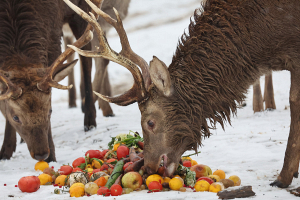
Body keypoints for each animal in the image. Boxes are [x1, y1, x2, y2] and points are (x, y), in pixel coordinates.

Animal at [0, 0, 104, 162]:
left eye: (50, 111)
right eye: (16, 117)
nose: (42, 154)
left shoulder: (53, 40)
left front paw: (52, 156)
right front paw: (5, 151)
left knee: (86, 58)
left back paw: (89, 120)